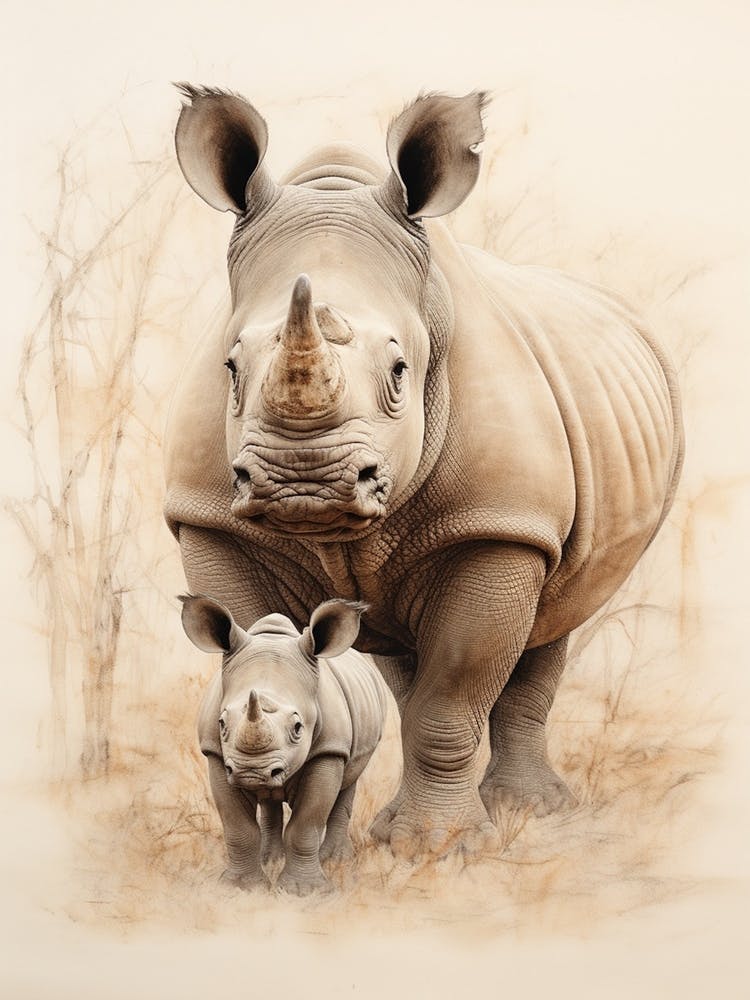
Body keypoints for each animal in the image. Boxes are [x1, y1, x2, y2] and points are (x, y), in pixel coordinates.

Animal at [164, 85, 684, 859]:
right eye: (230, 367)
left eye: (401, 370)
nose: (302, 481)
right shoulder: (210, 520)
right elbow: (263, 651)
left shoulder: (500, 524)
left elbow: (454, 691)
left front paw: (440, 850)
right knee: (401, 651)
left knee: (553, 620)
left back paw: (530, 812)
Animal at [181, 594, 388, 893]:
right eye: (222, 723)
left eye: (298, 727)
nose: (252, 772)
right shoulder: (216, 755)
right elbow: (238, 827)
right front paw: (239, 888)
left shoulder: (328, 751)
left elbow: (306, 825)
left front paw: (305, 892)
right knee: (270, 801)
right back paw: (270, 860)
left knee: (349, 780)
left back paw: (335, 862)